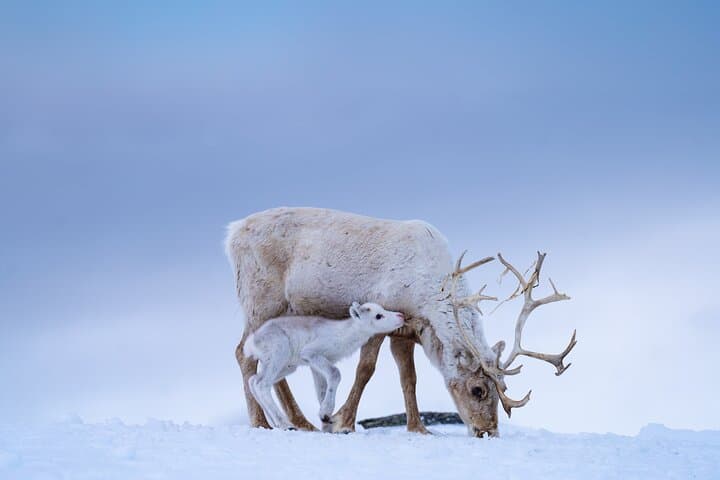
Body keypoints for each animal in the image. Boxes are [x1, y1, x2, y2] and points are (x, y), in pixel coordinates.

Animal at [244, 302, 405, 431]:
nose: (401, 316)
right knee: (261, 384)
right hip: (279, 355)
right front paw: (325, 413)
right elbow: (335, 374)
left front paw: (326, 422)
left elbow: (321, 391)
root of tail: (251, 342)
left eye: (383, 309)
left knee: (253, 381)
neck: (345, 335)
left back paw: (275, 423)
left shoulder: (317, 366)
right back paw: (285, 425)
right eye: (378, 316)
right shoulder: (311, 353)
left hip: (287, 366)